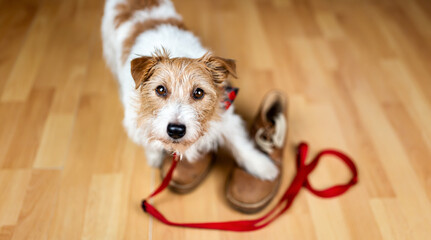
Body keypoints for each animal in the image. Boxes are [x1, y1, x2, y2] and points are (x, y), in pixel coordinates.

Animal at [101, 0, 278, 180]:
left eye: (198, 92)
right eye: (160, 89)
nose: (175, 130)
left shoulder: (225, 115)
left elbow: (240, 144)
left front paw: (262, 166)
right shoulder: (134, 120)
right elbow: (149, 141)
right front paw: (154, 157)